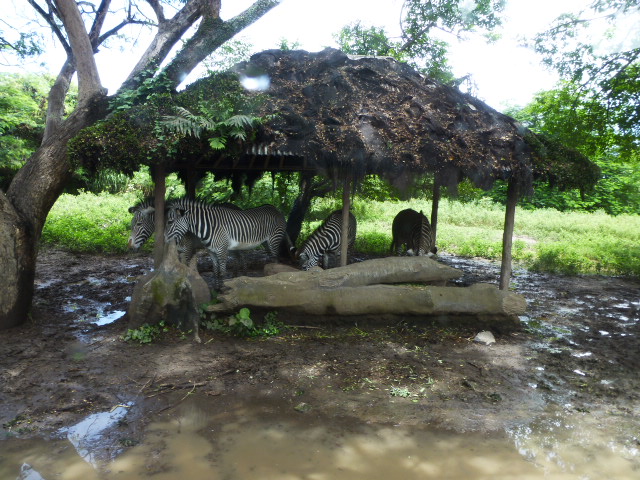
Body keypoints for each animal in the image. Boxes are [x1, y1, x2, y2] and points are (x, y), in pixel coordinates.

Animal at [164, 199, 293, 289]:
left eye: (170, 222)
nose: (164, 239)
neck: (209, 227)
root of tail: (275, 209)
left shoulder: (221, 250)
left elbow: (222, 272)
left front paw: (223, 289)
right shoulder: (211, 252)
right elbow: (215, 271)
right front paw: (216, 289)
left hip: (274, 240)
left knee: (275, 260)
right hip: (266, 243)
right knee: (271, 259)